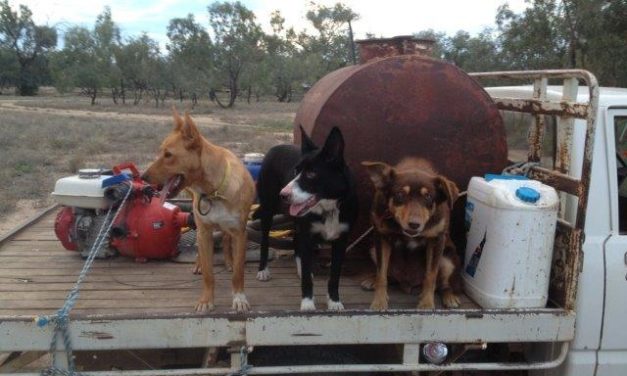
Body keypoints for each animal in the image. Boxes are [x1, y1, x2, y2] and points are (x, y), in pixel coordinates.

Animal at [144, 110, 255, 312]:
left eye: (168, 154)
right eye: (160, 152)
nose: (142, 177)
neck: (214, 191)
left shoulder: (240, 233)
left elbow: (238, 272)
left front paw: (239, 297)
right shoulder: (204, 232)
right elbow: (208, 275)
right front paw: (206, 300)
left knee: (225, 241)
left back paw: (228, 261)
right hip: (199, 228)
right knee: (202, 250)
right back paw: (198, 265)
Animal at [251, 125, 358, 310]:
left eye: (311, 173)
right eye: (296, 171)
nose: (283, 195)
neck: (329, 208)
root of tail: (274, 147)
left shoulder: (341, 240)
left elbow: (334, 276)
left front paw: (334, 301)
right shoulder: (308, 235)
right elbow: (308, 279)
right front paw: (307, 304)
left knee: (295, 239)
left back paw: (301, 269)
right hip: (268, 209)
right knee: (265, 240)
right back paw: (263, 270)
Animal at [364, 157, 462, 310]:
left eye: (428, 196)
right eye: (400, 194)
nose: (414, 224)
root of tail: (408, 284)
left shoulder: (436, 240)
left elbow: (431, 275)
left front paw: (427, 303)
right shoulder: (381, 237)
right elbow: (381, 274)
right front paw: (379, 302)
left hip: (448, 260)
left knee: (443, 284)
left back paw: (449, 297)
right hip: (373, 249)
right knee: (389, 276)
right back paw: (372, 280)